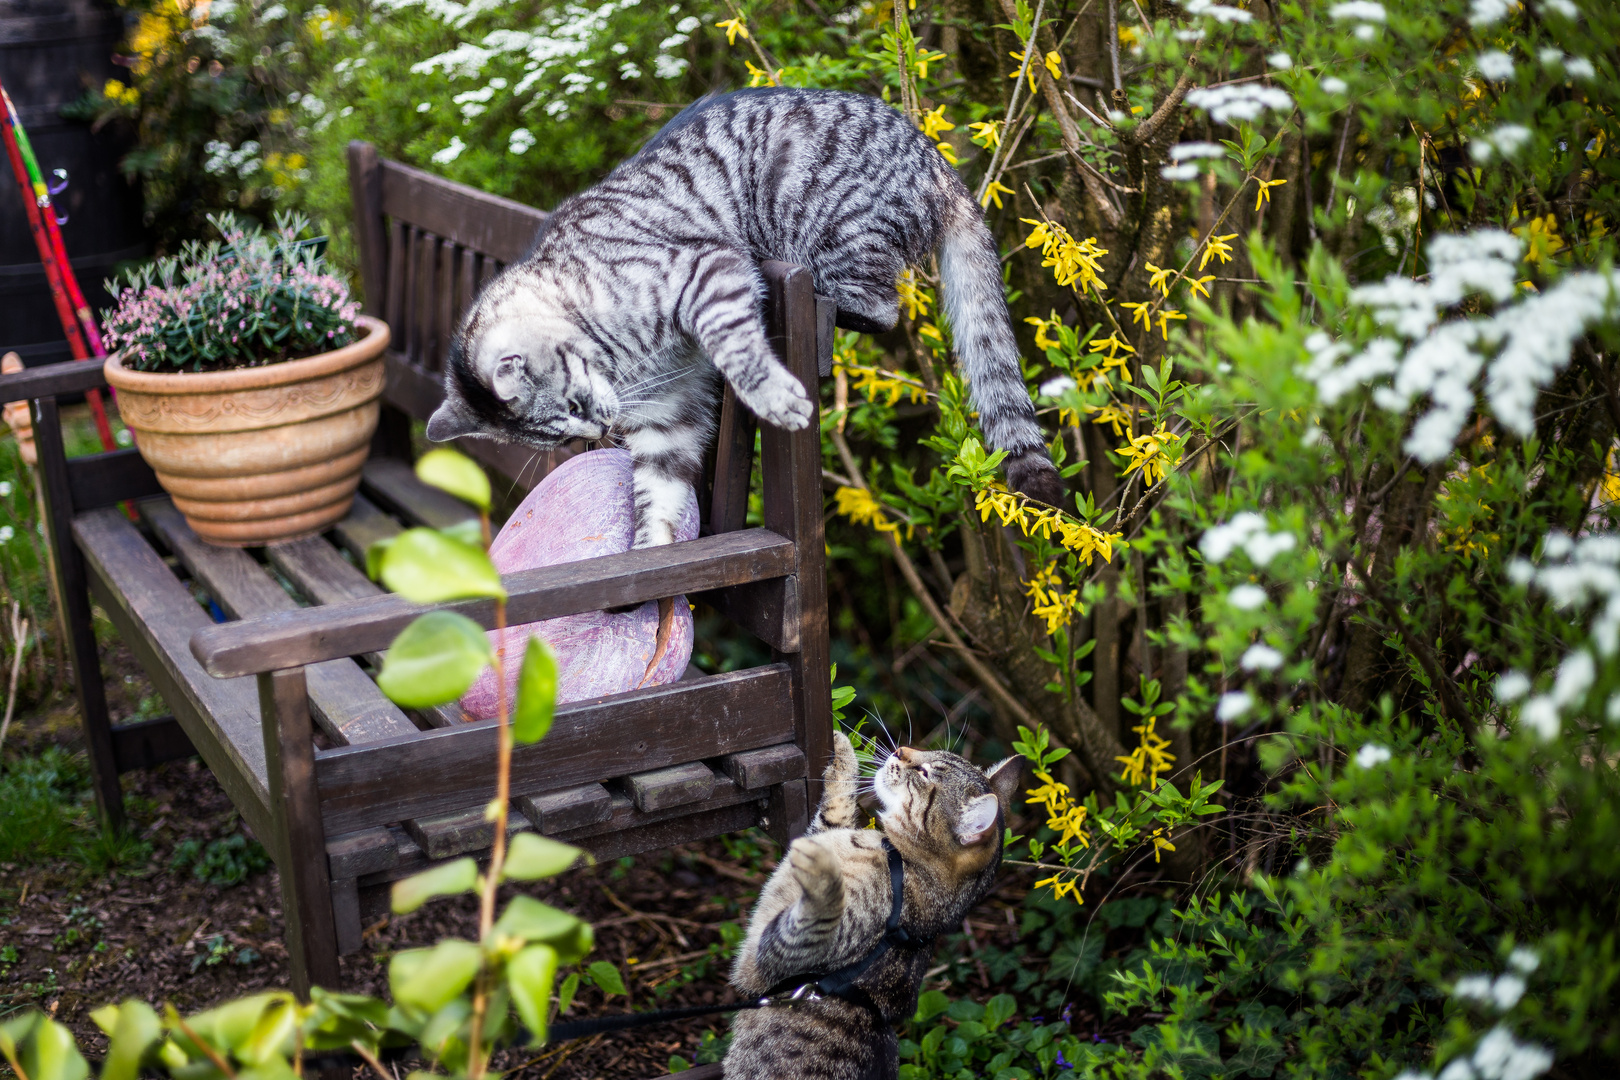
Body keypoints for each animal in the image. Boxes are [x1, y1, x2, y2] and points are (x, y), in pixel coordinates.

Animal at [427, 86, 1062, 550]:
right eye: (560, 433)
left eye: (574, 407)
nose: (600, 428)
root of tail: (937, 161)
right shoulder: (667, 421)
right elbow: (657, 500)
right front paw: (651, 578)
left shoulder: (707, 272)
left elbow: (737, 347)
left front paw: (774, 396)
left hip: (829, 233)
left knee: (883, 309)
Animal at [725, 735, 1017, 1080]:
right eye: (930, 753)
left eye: (926, 773)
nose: (900, 750)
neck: (898, 860)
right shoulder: (826, 828)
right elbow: (836, 805)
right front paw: (843, 749)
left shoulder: (775, 960)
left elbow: (814, 916)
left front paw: (823, 873)